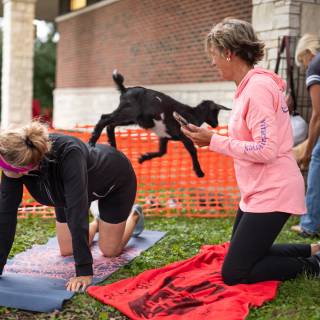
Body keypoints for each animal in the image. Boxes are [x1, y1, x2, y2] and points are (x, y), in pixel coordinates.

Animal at [89, 70, 229, 178]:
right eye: (216, 112)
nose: (216, 125)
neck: (193, 113)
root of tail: (125, 90)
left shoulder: (164, 137)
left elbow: (161, 152)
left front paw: (143, 158)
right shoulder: (185, 137)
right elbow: (193, 151)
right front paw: (199, 172)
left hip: (131, 118)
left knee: (110, 124)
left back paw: (113, 145)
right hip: (127, 113)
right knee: (104, 118)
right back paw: (92, 141)